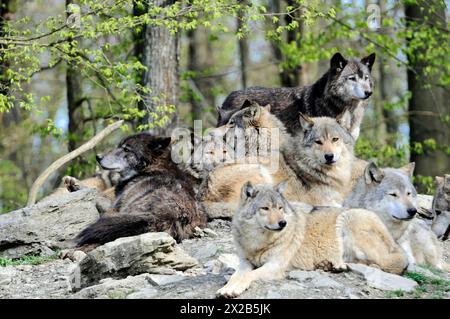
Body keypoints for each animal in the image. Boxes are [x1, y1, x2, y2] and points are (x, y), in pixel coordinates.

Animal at [74, 134, 207, 246]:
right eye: (118, 146)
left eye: (126, 149)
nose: (98, 157)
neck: (151, 168)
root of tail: (168, 215)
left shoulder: (115, 205)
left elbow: (98, 196)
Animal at [217, 182, 408, 300]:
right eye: (265, 208)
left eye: (280, 208)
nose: (283, 223)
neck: (258, 242)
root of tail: (394, 242)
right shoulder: (244, 263)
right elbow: (235, 276)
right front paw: (226, 288)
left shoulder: (275, 266)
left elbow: (249, 275)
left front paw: (234, 289)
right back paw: (331, 266)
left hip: (348, 220)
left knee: (383, 265)